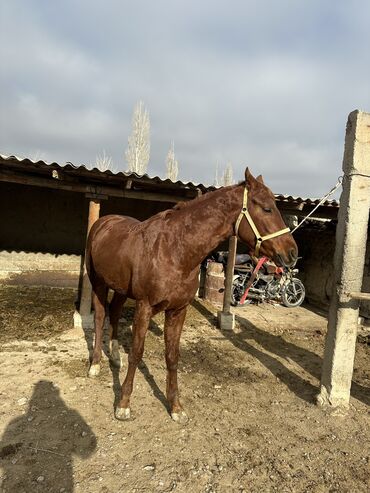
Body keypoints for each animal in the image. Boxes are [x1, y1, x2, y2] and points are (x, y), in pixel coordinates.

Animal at [85, 167, 296, 420]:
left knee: (115, 313)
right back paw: (95, 365)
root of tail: (103, 222)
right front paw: (124, 403)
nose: (292, 252)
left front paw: (175, 407)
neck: (175, 249)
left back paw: (115, 358)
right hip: (98, 282)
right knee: (100, 316)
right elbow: (136, 352)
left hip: (121, 289)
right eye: (266, 208)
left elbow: (172, 356)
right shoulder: (144, 307)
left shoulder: (178, 310)